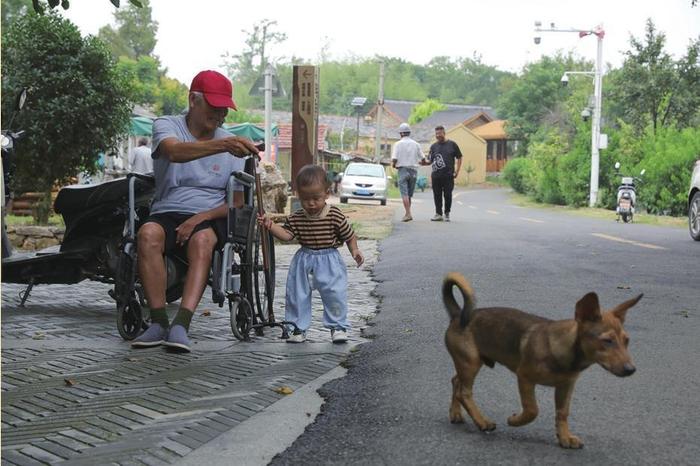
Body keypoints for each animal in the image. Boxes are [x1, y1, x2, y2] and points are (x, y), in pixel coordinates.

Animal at [446, 272, 644, 450]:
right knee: (464, 392)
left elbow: (562, 413)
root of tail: (457, 315)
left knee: (455, 381)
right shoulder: (524, 378)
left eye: (626, 341)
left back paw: (456, 414)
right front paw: (515, 420)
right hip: (470, 362)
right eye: (607, 341)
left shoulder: (566, 386)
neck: (565, 352)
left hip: (469, 362)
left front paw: (564, 437)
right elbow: (532, 409)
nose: (631, 369)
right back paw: (482, 422)